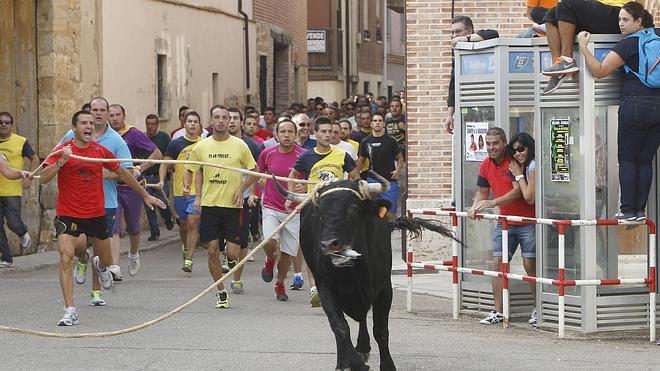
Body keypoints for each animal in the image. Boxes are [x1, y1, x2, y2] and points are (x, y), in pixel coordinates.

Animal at [276, 176, 456, 370]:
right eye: (320, 213)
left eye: (353, 209)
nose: (329, 244)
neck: (354, 271)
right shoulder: (325, 288)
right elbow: (340, 327)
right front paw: (353, 362)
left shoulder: (384, 289)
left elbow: (381, 329)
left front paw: (387, 365)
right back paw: (346, 360)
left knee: (364, 318)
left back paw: (362, 347)